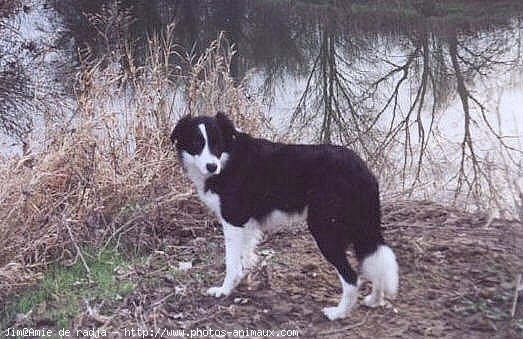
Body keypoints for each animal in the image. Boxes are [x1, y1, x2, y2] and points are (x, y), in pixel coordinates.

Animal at [170, 113, 400, 320]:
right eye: (196, 143)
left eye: (216, 143)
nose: (212, 167)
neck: (228, 159)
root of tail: (364, 171)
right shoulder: (247, 224)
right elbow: (245, 256)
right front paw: (239, 281)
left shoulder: (233, 221)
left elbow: (231, 262)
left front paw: (224, 290)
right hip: (362, 229)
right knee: (375, 261)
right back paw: (375, 300)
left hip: (324, 229)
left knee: (352, 277)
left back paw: (338, 313)